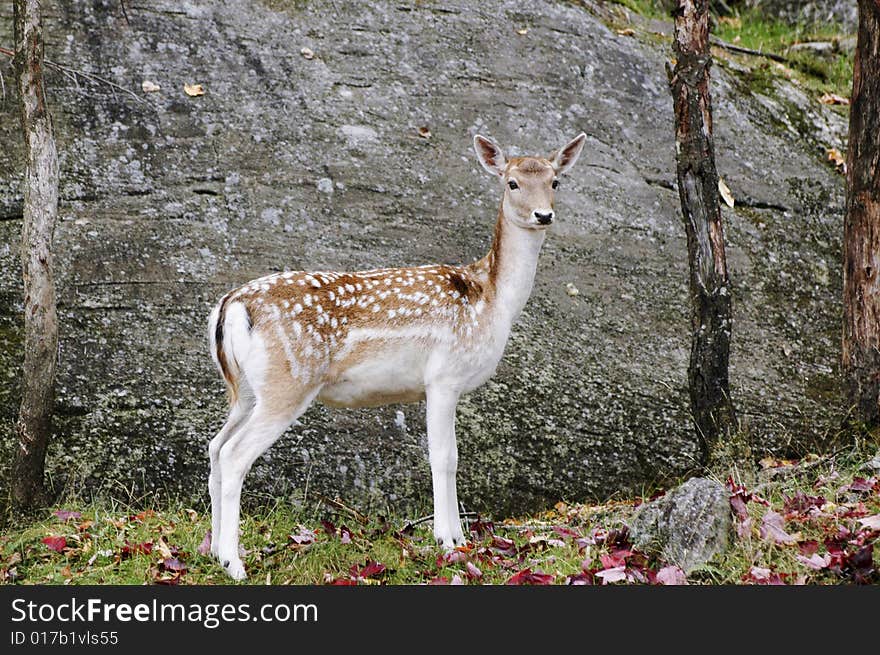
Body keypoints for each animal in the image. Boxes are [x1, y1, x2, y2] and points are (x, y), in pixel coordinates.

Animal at [208, 132, 584, 580]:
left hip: (246, 389)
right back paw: (233, 563)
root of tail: (230, 305)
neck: (492, 300)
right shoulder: (444, 377)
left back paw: (211, 552)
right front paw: (448, 540)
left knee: (215, 447)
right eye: (512, 183)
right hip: (288, 381)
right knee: (234, 455)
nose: (543, 214)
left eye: (555, 181)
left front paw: (461, 537)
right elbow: (445, 457)